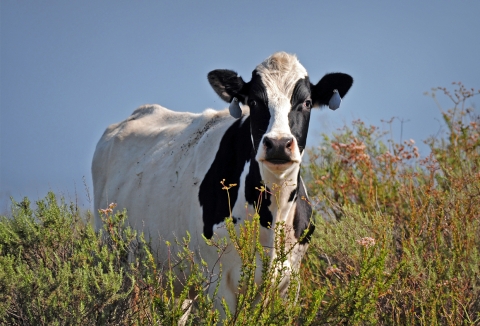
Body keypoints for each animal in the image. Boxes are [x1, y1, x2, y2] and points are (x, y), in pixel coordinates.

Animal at [92, 52, 352, 318]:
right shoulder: (219, 282)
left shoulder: (289, 282)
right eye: (254, 102)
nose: (278, 144)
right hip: (117, 261)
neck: (274, 214)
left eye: (307, 102)